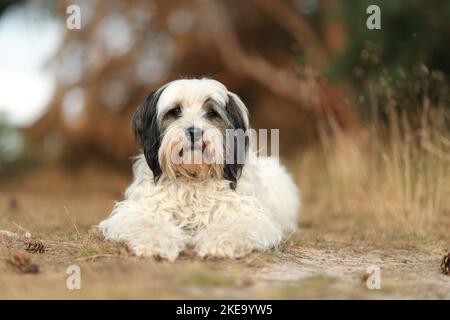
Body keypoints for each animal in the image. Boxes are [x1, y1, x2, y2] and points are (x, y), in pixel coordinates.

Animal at [100, 79, 300, 262]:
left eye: (211, 112)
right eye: (175, 111)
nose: (194, 132)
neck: (193, 176)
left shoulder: (248, 215)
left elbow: (237, 226)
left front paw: (220, 243)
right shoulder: (137, 211)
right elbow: (148, 223)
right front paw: (155, 243)